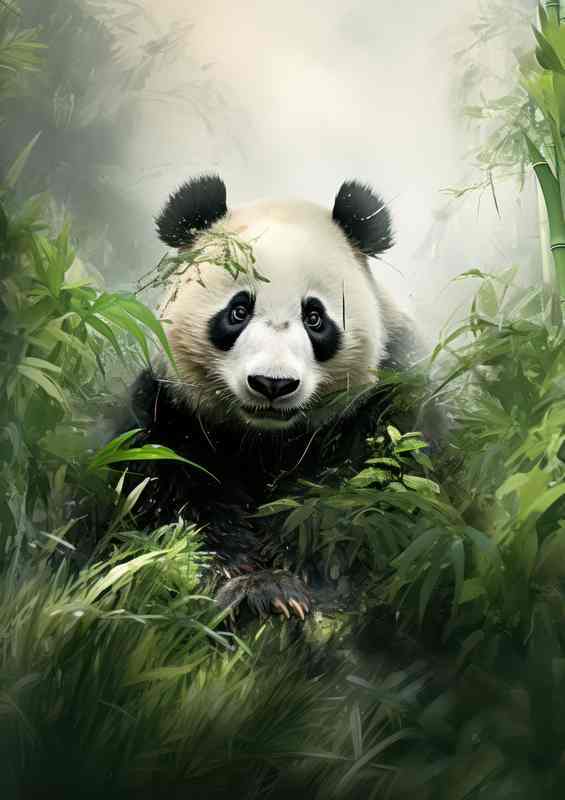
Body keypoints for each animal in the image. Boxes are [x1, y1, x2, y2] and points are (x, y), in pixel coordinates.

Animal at [116, 174, 430, 622]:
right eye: (238, 311)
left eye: (314, 317)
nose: (272, 384)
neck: (266, 438)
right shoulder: (169, 412)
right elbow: (174, 496)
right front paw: (253, 586)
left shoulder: (388, 401)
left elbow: (365, 492)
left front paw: (291, 567)